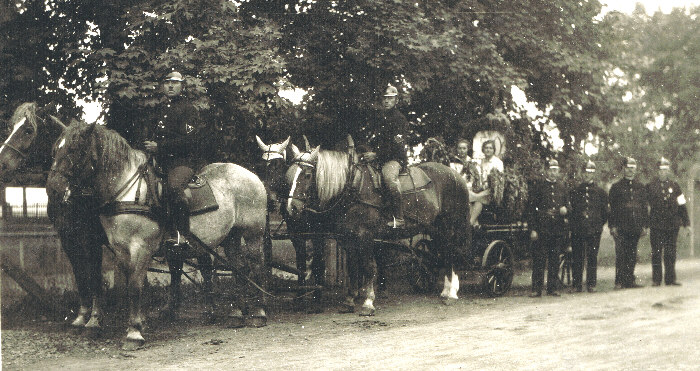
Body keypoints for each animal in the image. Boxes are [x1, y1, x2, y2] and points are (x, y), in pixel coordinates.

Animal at [0, 102, 108, 332]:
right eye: (12, 127)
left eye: (28, 130)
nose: (1, 164)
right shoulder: (68, 237)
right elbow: (79, 273)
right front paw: (82, 316)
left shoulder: (92, 239)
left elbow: (94, 274)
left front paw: (95, 318)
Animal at [44, 123, 268, 352]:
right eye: (54, 151)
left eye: (74, 150)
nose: (53, 189)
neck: (127, 191)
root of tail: (251, 175)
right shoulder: (119, 248)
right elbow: (123, 285)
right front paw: (129, 323)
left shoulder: (140, 248)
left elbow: (134, 286)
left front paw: (133, 333)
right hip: (231, 236)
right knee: (239, 268)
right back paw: (237, 313)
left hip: (253, 234)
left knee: (256, 265)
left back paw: (258, 313)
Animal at [284, 138, 470, 318]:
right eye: (292, 176)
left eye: (307, 175)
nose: (292, 207)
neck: (354, 185)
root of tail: (456, 175)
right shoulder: (348, 239)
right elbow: (353, 268)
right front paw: (349, 301)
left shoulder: (364, 236)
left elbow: (367, 268)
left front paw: (368, 303)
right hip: (436, 228)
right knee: (445, 252)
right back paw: (446, 291)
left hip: (450, 225)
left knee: (452, 252)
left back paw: (452, 293)